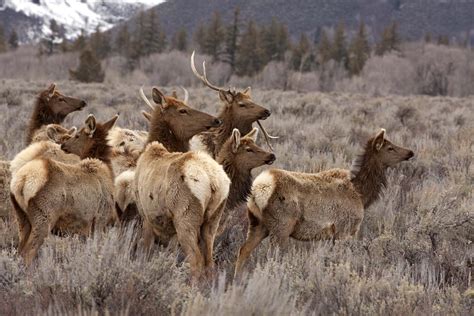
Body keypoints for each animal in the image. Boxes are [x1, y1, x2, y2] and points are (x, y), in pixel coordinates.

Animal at [9, 113, 118, 264]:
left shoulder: (84, 230)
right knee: (28, 253)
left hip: (21, 218)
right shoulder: (100, 220)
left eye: (77, 135)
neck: (108, 169)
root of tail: (22, 180)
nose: (63, 145)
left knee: (19, 252)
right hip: (43, 218)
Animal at [134, 87, 231, 278]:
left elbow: (145, 249)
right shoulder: (170, 229)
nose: (216, 120)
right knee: (210, 262)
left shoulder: (146, 215)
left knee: (196, 261)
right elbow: (170, 255)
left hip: (186, 216)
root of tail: (213, 181)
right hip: (213, 218)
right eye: (182, 110)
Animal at [235, 130, 412, 276]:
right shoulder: (344, 230)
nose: (410, 152)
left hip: (257, 224)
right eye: (390, 148)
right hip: (281, 226)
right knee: (272, 256)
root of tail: (260, 188)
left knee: (243, 250)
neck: (361, 194)